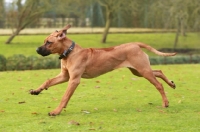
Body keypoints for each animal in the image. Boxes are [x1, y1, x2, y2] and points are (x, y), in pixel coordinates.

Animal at [29, 24, 175, 115]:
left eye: (49, 42)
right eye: (45, 41)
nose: (36, 49)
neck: (69, 52)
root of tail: (135, 44)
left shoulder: (74, 80)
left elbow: (65, 97)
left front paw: (56, 111)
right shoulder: (65, 76)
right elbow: (47, 81)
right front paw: (36, 90)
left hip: (143, 70)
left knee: (158, 84)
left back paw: (166, 103)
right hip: (138, 71)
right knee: (159, 72)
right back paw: (172, 84)